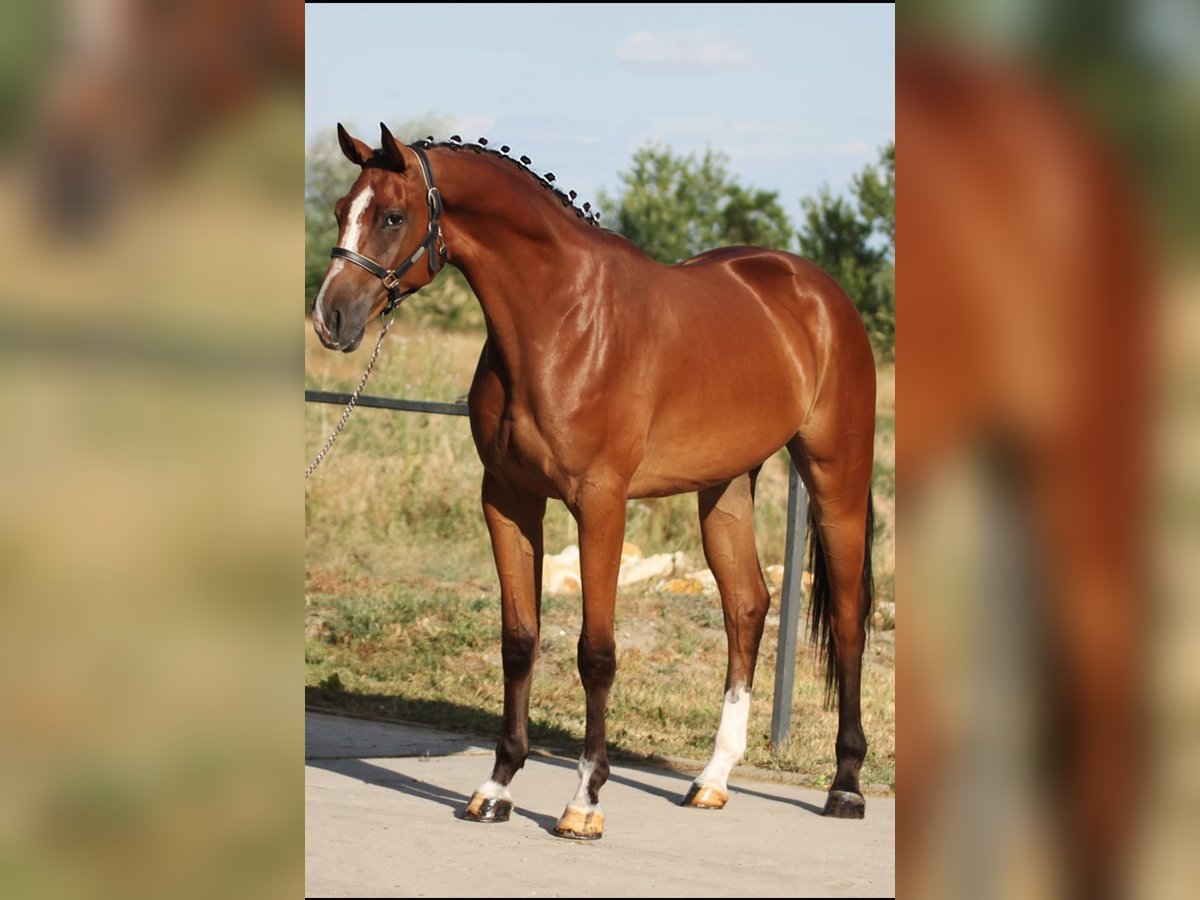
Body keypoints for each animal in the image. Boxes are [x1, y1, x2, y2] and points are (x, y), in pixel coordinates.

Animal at [309, 123, 878, 844]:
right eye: (339, 209)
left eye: (390, 216)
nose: (331, 318)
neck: (561, 323)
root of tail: (818, 293)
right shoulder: (507, 500)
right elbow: (520, 642)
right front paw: (496, 788)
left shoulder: (601, 504)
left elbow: (596, 653)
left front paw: (584, 801)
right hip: (726, 486)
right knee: (747, 606)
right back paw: (713, 779)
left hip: (836, 475)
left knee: (850, 619)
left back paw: (846, 786)